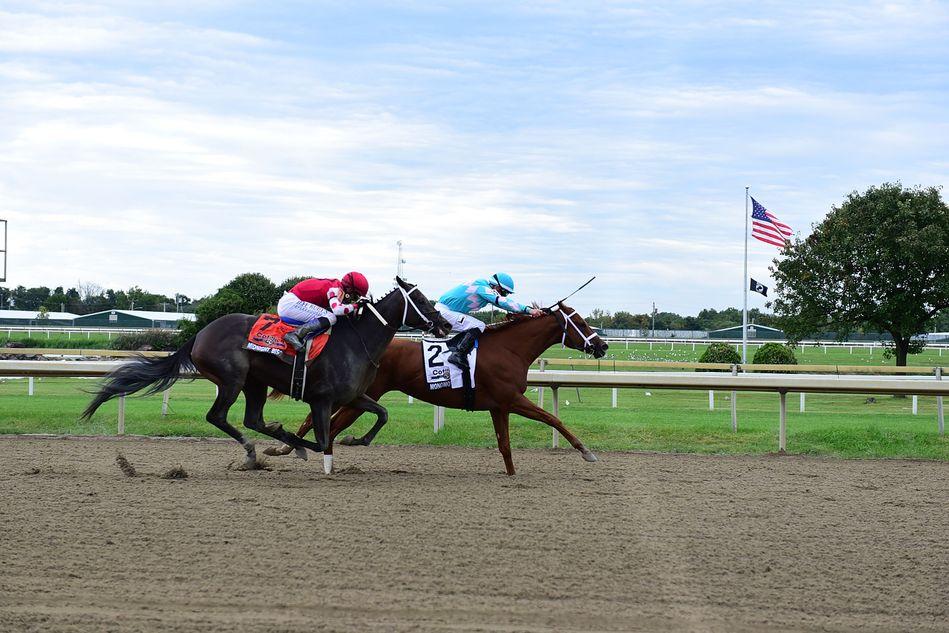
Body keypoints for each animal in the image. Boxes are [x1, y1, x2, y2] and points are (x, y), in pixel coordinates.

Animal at [266, 302, 608, 474]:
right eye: (581, 323)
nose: (603, 345)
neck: (510, 349)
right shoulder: (511, 398)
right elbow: (553, 419)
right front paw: (586, 452)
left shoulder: (498, 406)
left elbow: (505, 445)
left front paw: (512, 475)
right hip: (360, 397)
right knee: (332, 425)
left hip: (353, 397)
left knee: (321, 422)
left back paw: (289, 448)